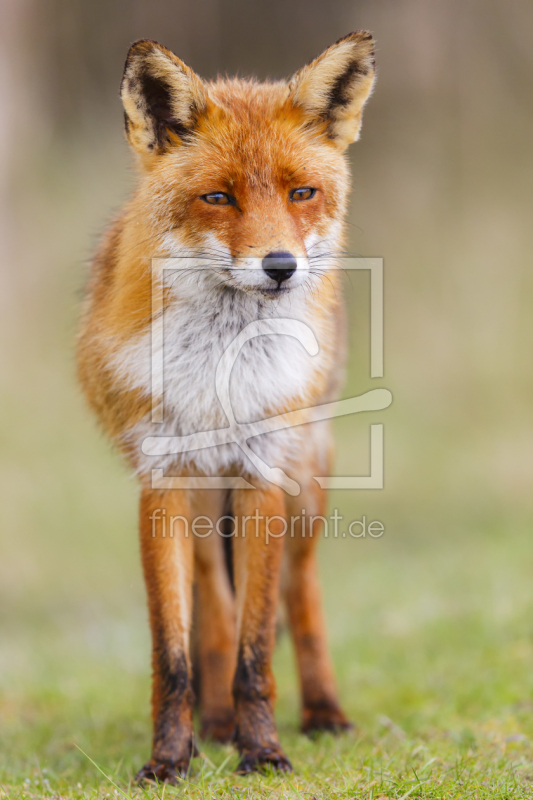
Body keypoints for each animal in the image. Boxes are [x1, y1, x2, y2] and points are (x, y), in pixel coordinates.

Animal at [77, 32, 376, 780]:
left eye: (302, 193)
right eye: (218, 196)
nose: (280, 266)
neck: (221, 372)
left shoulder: (263, 472)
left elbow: (256, 647)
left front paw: (263, 750)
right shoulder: (161, 481)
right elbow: (174, 651)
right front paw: (170, 759)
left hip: (307, 480)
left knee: (300, 590)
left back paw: (323, 713)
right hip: (205, 499)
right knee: (213, 605)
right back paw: (213, 723)